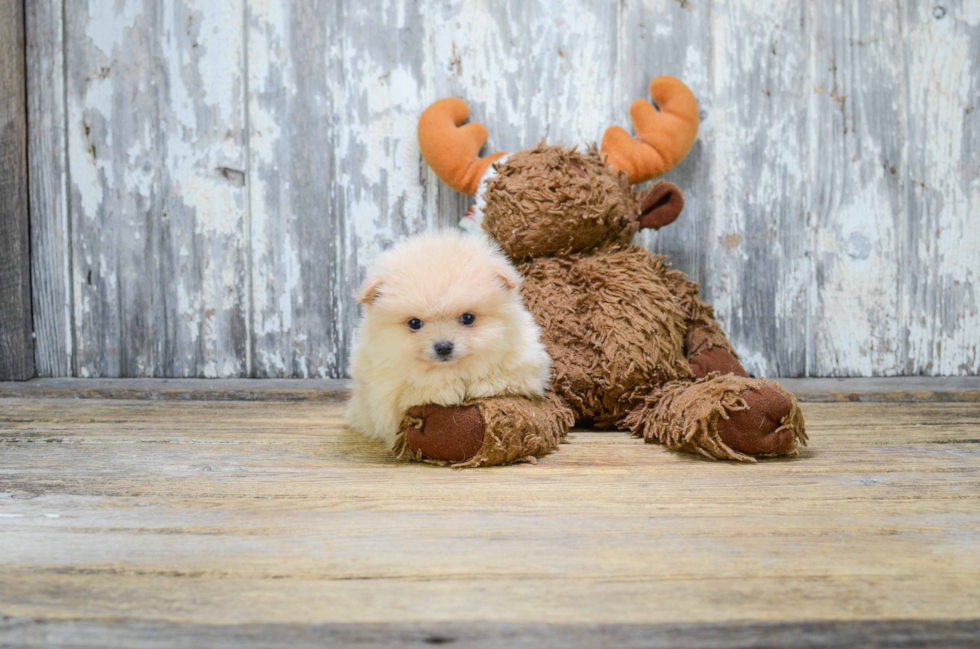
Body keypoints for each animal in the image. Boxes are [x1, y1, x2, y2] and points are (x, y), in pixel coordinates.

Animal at [348, 229, 552, 446]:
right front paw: (448, 390)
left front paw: (480, 385)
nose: (444, 346)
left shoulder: (529, 367)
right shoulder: (385, 396)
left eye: (468, 318)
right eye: (414, 323)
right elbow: (414, 389)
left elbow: (505, 377)